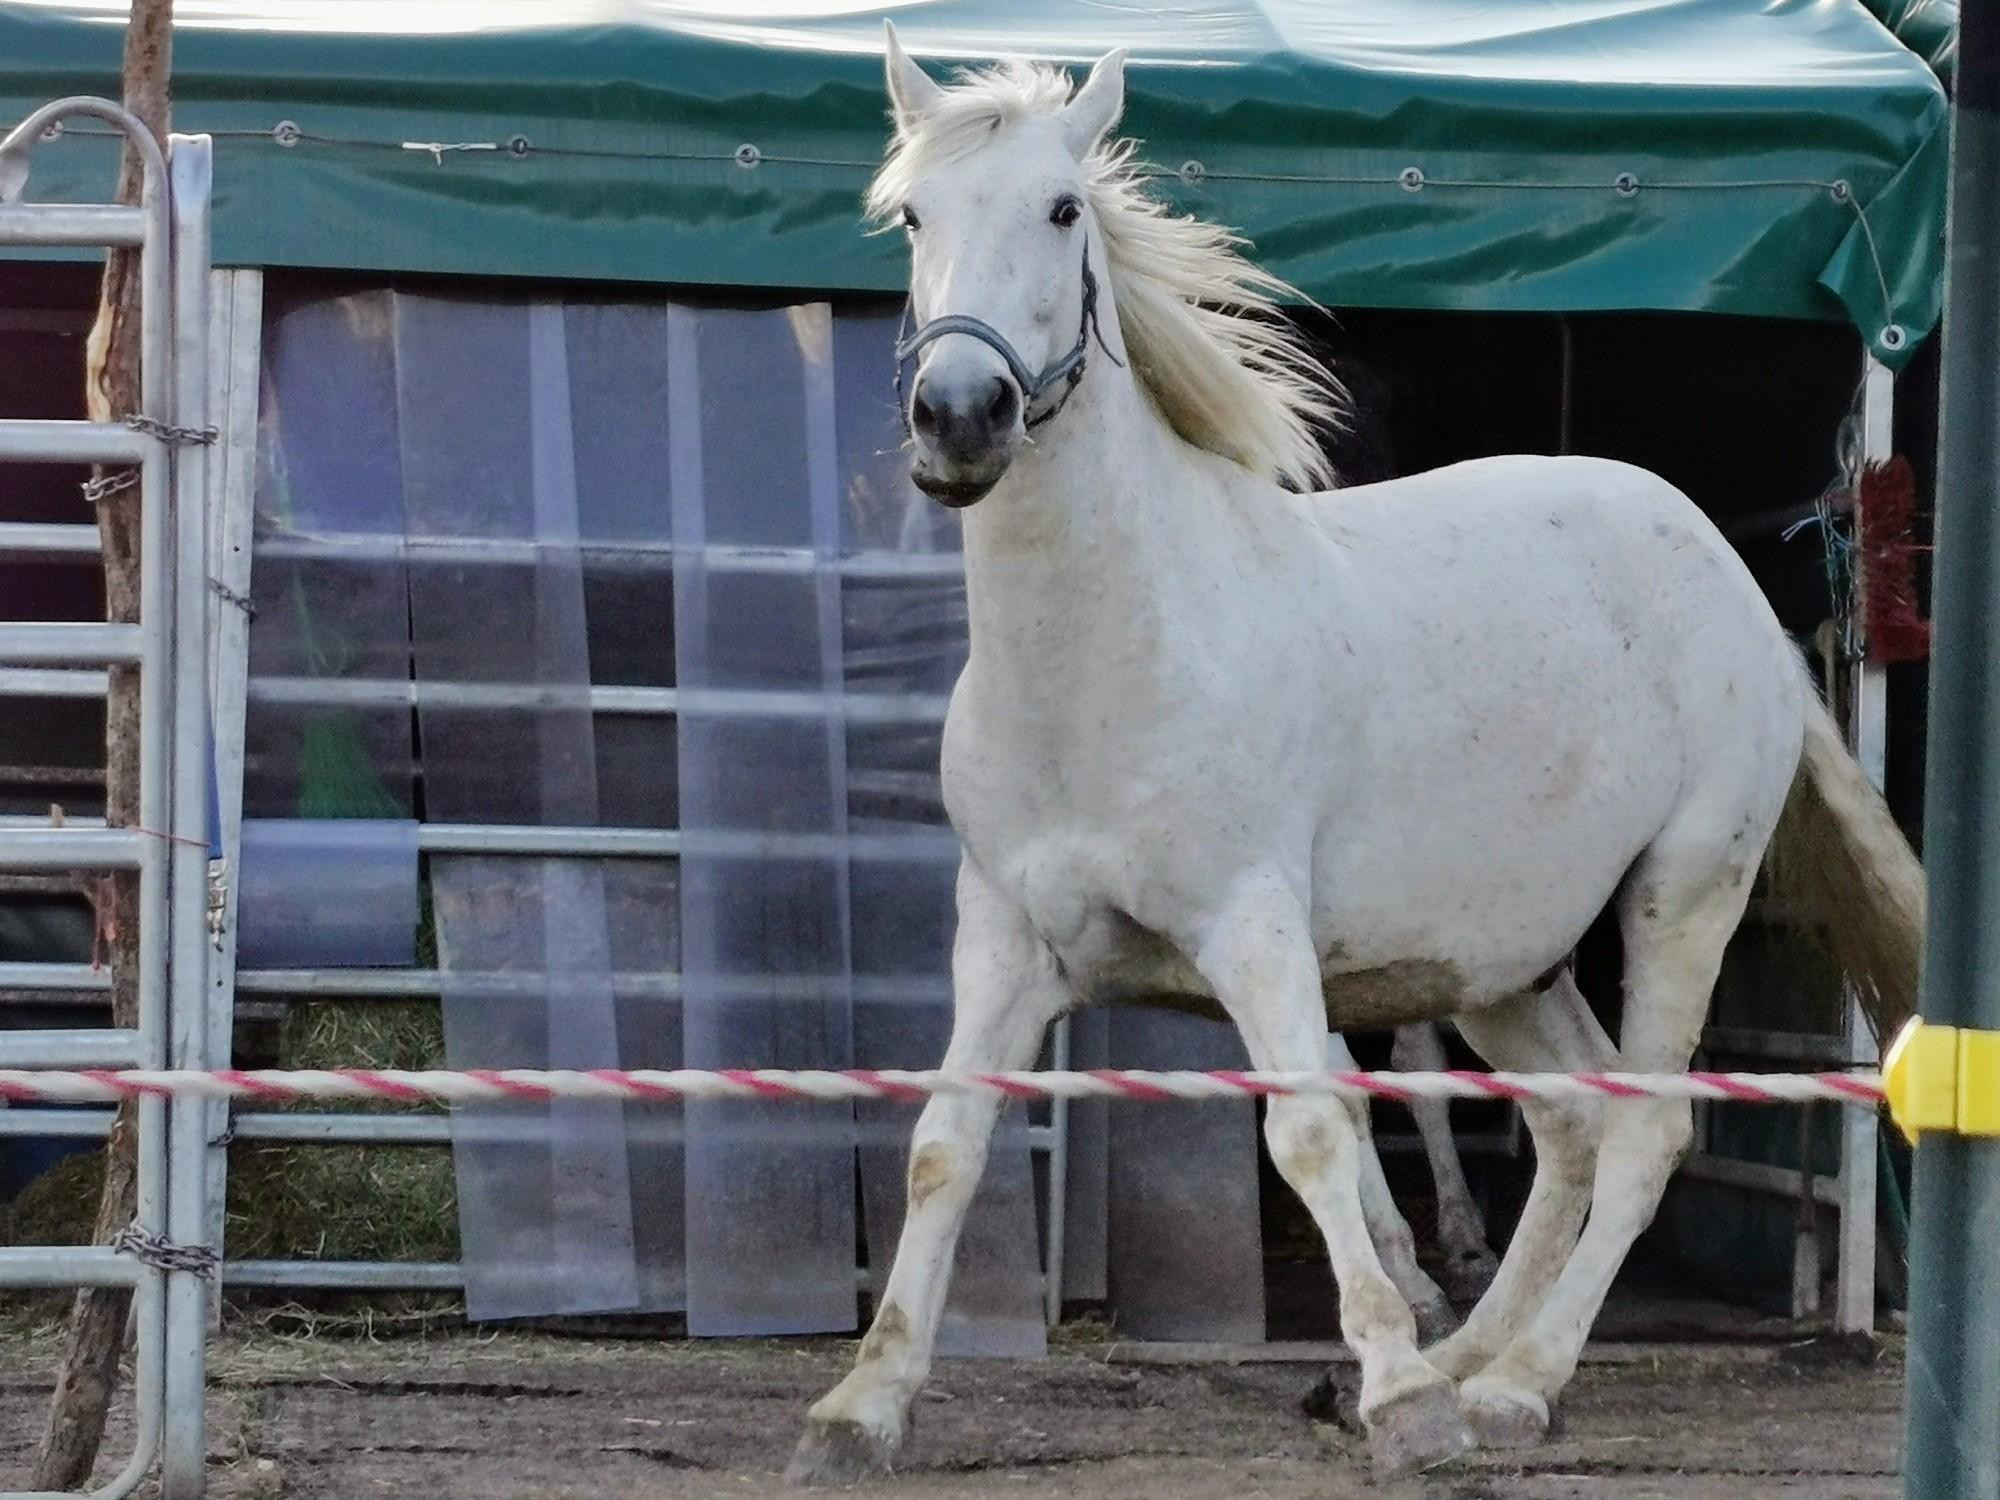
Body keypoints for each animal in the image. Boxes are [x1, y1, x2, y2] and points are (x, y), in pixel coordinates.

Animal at [784, 29, 1920, 1488]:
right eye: (915, 217)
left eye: (1063, 209)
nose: (961, 417)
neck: (1114, 654)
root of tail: (1738, 591)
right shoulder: (1005, 939)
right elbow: (943, 1142)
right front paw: (858, 1409)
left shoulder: (1254, 928)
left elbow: (1315, 1129)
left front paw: (1396, 1397)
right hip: (1503, 957)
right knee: (1568, 1121)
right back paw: (1472, 1359)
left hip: (1685, 895)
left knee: (1645, 1127)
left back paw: (1511, 1388)